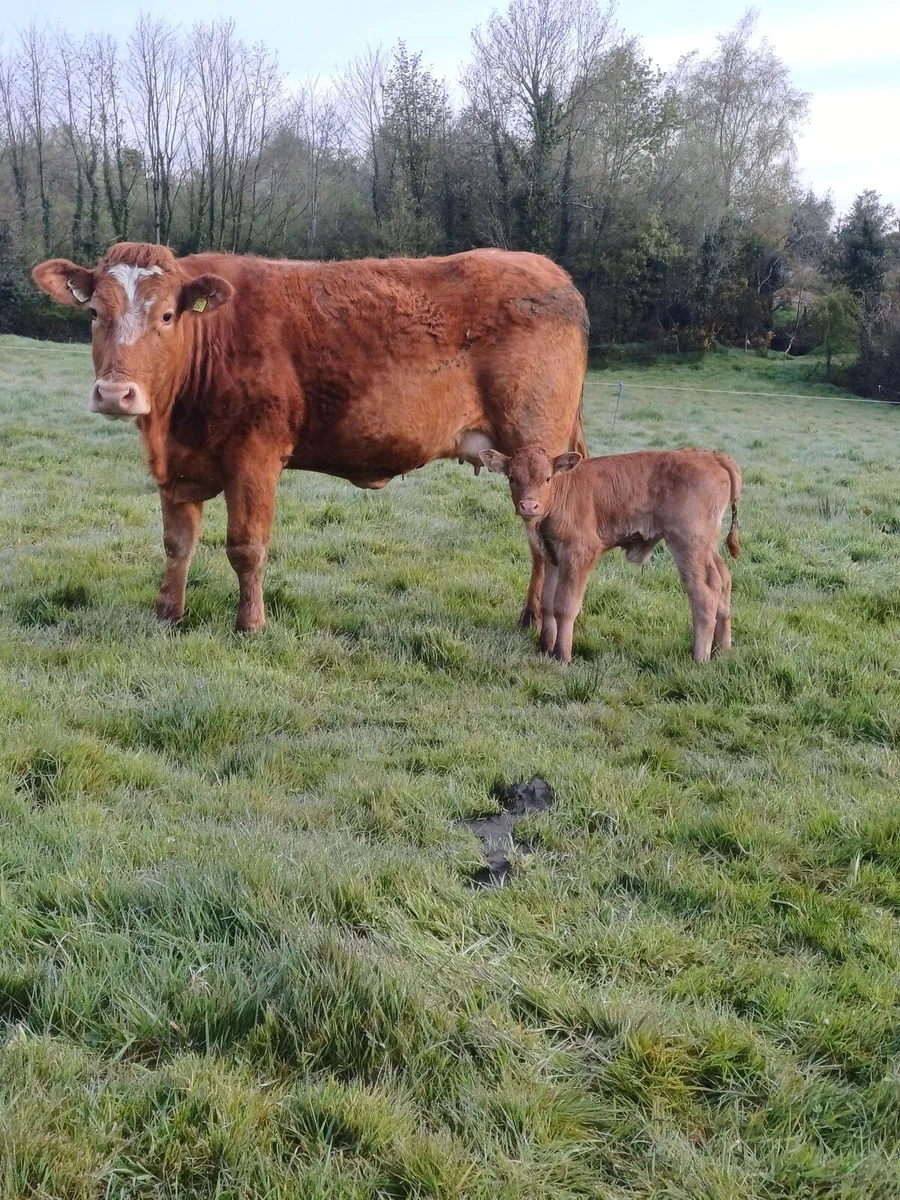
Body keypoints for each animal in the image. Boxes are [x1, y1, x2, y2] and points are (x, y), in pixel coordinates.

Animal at [32, 243, 588, 632]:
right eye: (94, 313)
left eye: (167, 315)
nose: (115, 393)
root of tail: (555, 275)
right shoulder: (177, 467)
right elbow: (177, 544)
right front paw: (168, 613)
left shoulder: (254, 458)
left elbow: (246, 546)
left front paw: (251, 624)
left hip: (535, 455)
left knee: (541, 540)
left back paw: (535, 622)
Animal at [480, 445, 742, 663]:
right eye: (512, 478)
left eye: (547, 478)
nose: (529, 505)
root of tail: (711, 456)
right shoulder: (552, 556)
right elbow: (547, 602)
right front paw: (545, 647)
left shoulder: (579, 554)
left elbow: (565, 605)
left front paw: (561, 655)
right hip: (707, 547)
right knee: (723, 580)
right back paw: (722, 649)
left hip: (688, 544)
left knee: (704, 592)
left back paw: (699, 657)